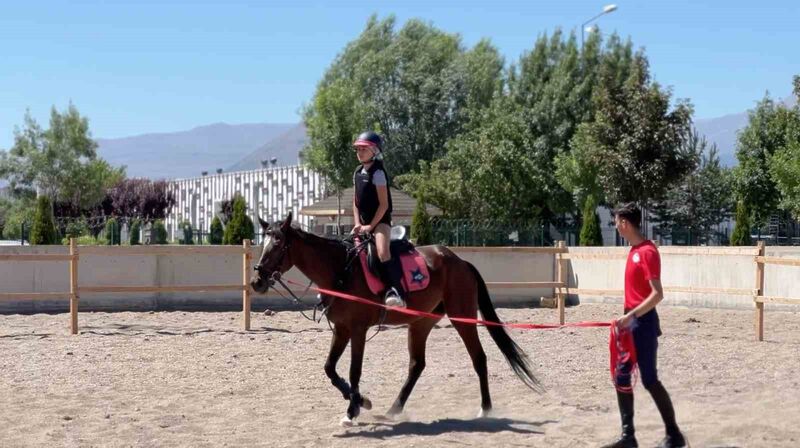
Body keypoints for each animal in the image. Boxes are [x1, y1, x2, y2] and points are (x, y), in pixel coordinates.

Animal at [250, 212, 536, 426]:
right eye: (263, 245)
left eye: (278, 246)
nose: (256, 281)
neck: (340, 270)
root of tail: (460, 261)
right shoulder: (341, 329)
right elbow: (330, 368)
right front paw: (360, 402)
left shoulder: (358, 329)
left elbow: (354, 370)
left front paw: (353, 410)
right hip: (421, 323)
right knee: (417, 365)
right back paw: (394, 409)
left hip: (461, 317)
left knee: (479, 358)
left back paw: (485, 410)